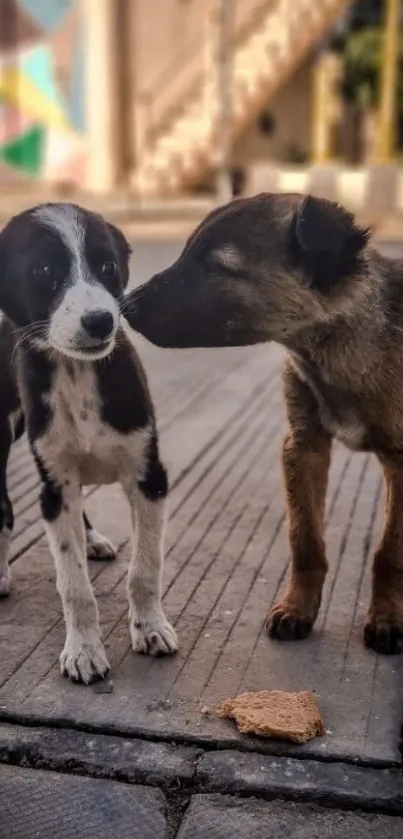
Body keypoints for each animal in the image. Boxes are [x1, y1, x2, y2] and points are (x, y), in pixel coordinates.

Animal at [0, 202, 178, 684]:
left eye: (107, 267)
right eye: (44, 270)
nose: (102, 321)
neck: (77, 373)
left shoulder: (149, 476)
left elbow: (145, 569)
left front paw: (150, 628)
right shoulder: (54, 486)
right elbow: (73, 584)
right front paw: (82, 650)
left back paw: (93, 539)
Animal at [124, 195, 403, 656]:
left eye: (214, 264)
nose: (126, 305)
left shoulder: (399, 460)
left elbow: (388, 550)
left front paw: (387, 616)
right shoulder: (303, 445)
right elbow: (305, 539)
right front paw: (298, 608)